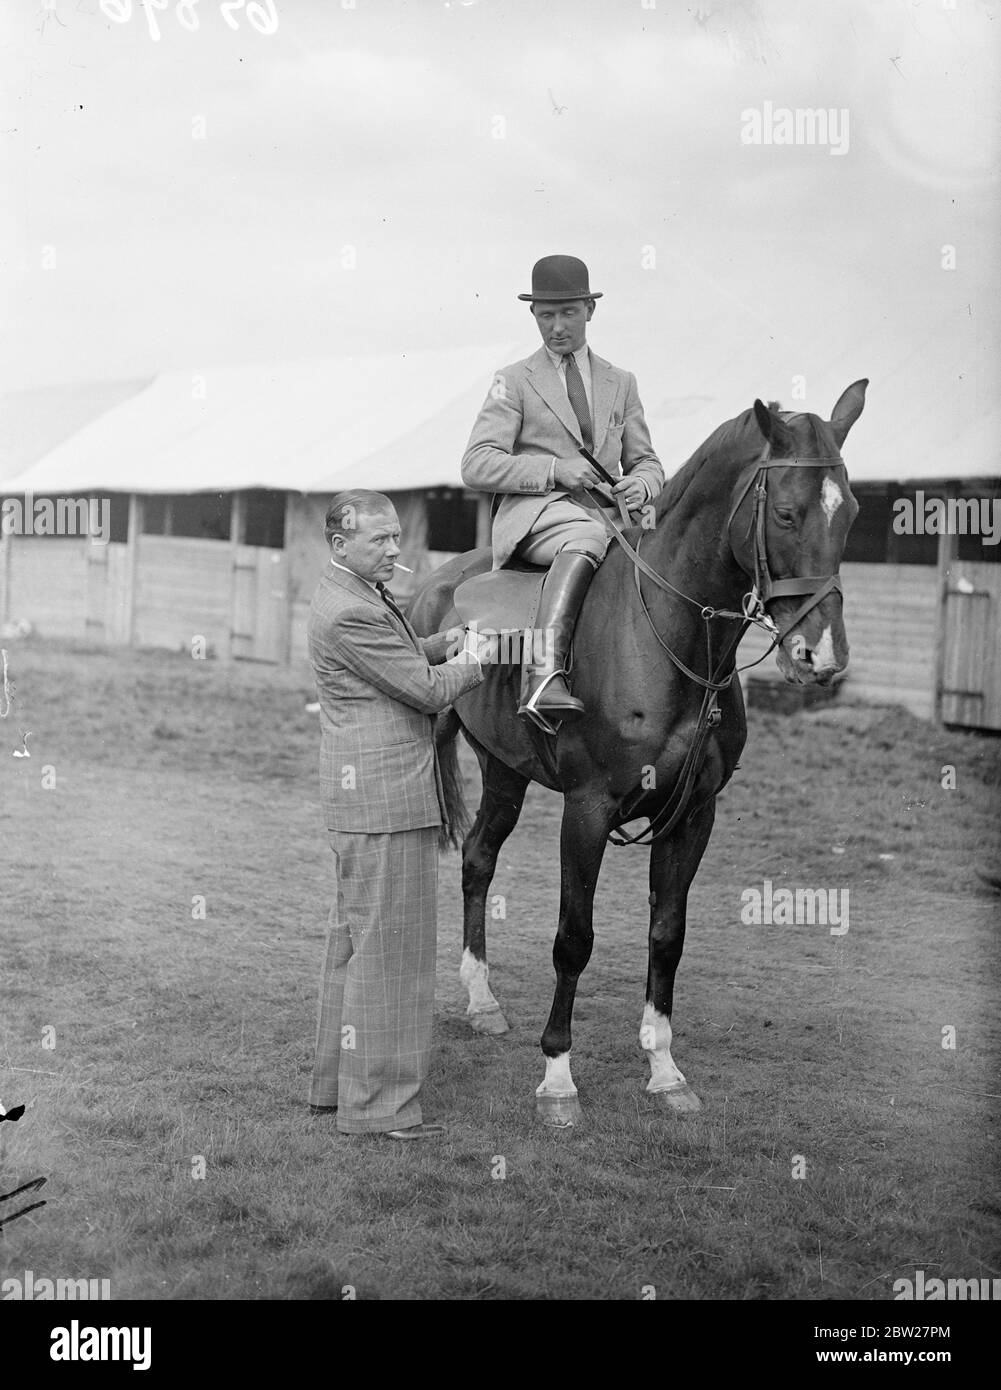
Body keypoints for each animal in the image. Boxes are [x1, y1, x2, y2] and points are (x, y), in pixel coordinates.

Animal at [411, 383, 861, 1128]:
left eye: (850, 512)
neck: (667, 639)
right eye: (787, 513)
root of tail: (440, 579)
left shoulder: (692, 816)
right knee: (474, 861)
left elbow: (666, 935)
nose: (820, 657)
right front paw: (557, 1079)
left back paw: (482, 1000)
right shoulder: (587, 810)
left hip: (504, 769)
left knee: (478, 856)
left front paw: (664, 1068)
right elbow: (574, 938)